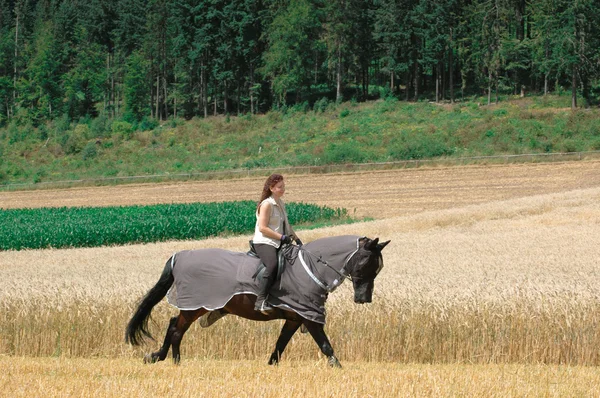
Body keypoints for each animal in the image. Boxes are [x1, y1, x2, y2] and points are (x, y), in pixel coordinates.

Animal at [124, 235, 392, 368]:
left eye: (378, 267)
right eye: (366, 262)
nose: (363, 299)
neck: (311, 268)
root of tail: (178, 256)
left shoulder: (295, 318)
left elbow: (280, 345)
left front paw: (271, 365)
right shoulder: (308, 317)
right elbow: (325, 345)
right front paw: (338, 368)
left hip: (196, 307)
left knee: (174, 326)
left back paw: (166, 358)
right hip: (196, 305)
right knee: (176, 328)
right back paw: (170, 360)